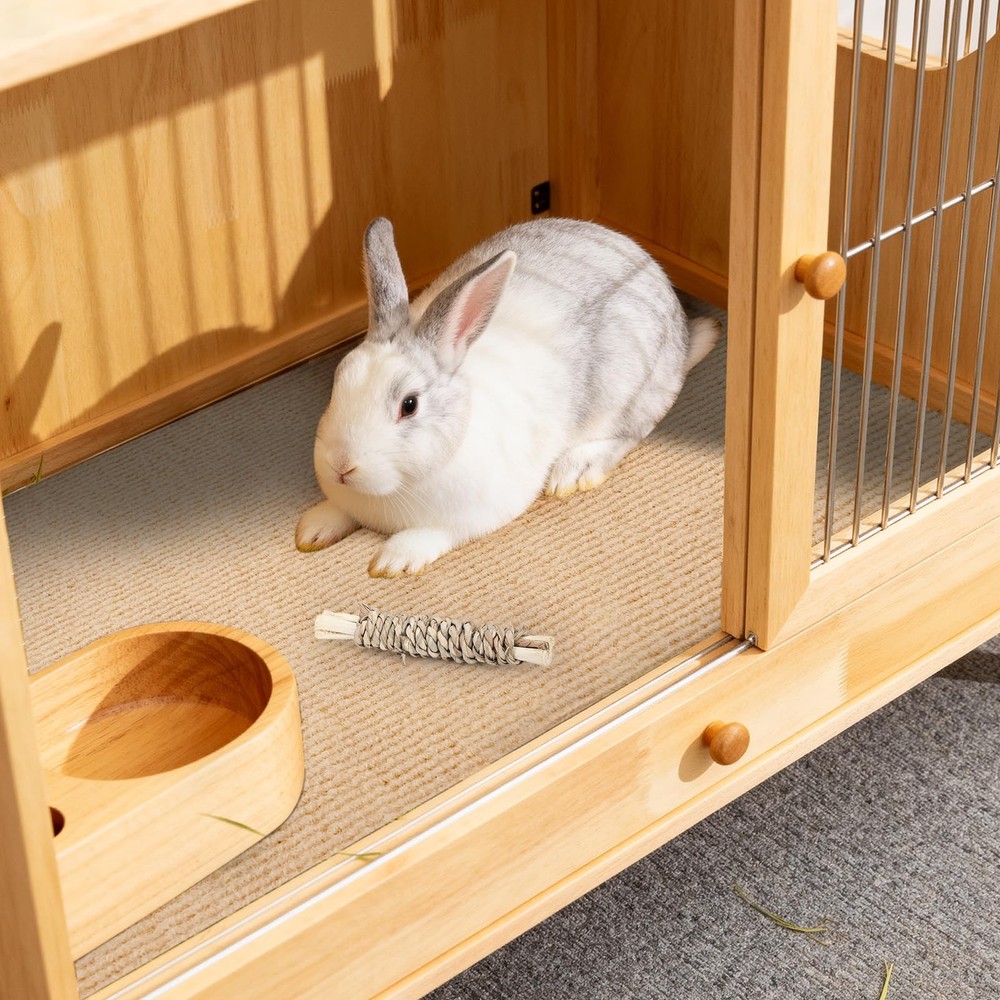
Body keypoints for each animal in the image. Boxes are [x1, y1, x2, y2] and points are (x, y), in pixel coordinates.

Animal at [295, 216, 720, 577]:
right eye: (339, 380)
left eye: (409, 405)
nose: (342, 466)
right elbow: (338, 511)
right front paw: (312, 529)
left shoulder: (472, 516)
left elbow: (434, 535)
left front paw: (393, 559)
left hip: (625, 395)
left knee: (628, 434)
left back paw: (572, 471)